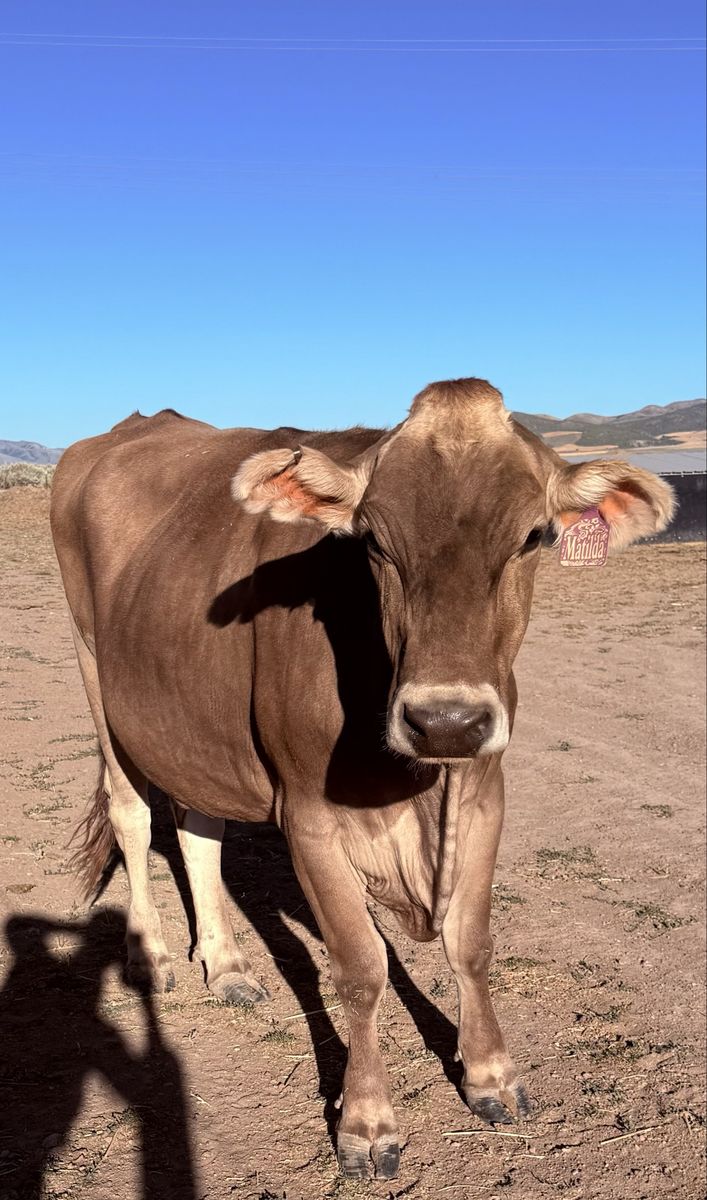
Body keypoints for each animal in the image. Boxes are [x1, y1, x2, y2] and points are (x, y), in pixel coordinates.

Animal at [50, 378, 674, 1180]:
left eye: (536, 535)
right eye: (373, 540)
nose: (446, 721)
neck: (419, 789)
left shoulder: (485, 792)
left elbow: (471, 943)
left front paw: (491, 1075)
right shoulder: (308, 816)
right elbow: (359, 967)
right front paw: (368, 1123)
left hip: (192, 716)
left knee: (198, 827)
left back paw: (226, 964)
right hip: (96, 673)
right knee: (133, 815)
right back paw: (151, 954)